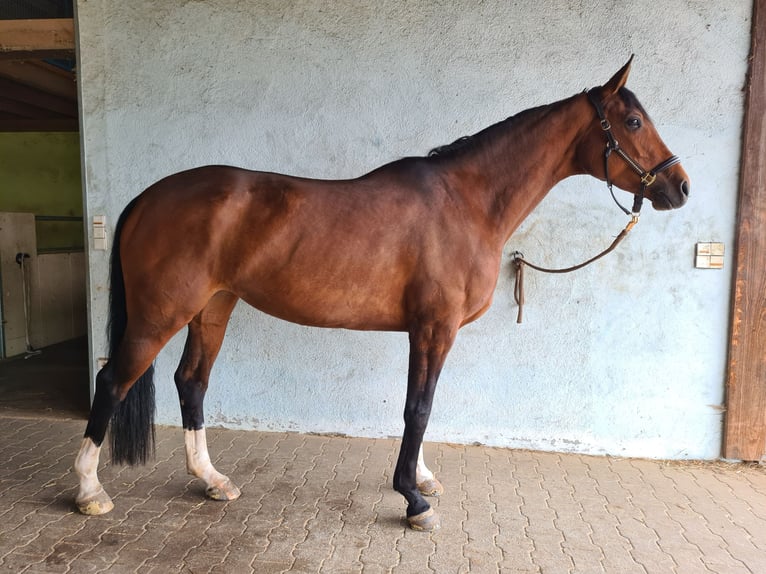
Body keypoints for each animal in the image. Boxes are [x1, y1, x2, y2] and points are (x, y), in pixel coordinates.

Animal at [76, 56, 688, 532]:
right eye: (633, 120)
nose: (679, 186)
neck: (466, 202)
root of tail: (148, 198)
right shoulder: (434, 328)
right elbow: (419, 407)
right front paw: (413, 499)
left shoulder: (430, 332)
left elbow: (424, 406)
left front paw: (422, 478)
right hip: (160, 313)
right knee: (112, 380)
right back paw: (89, 491)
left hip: (212, 309)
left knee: (192, 383)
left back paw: (211, 480)